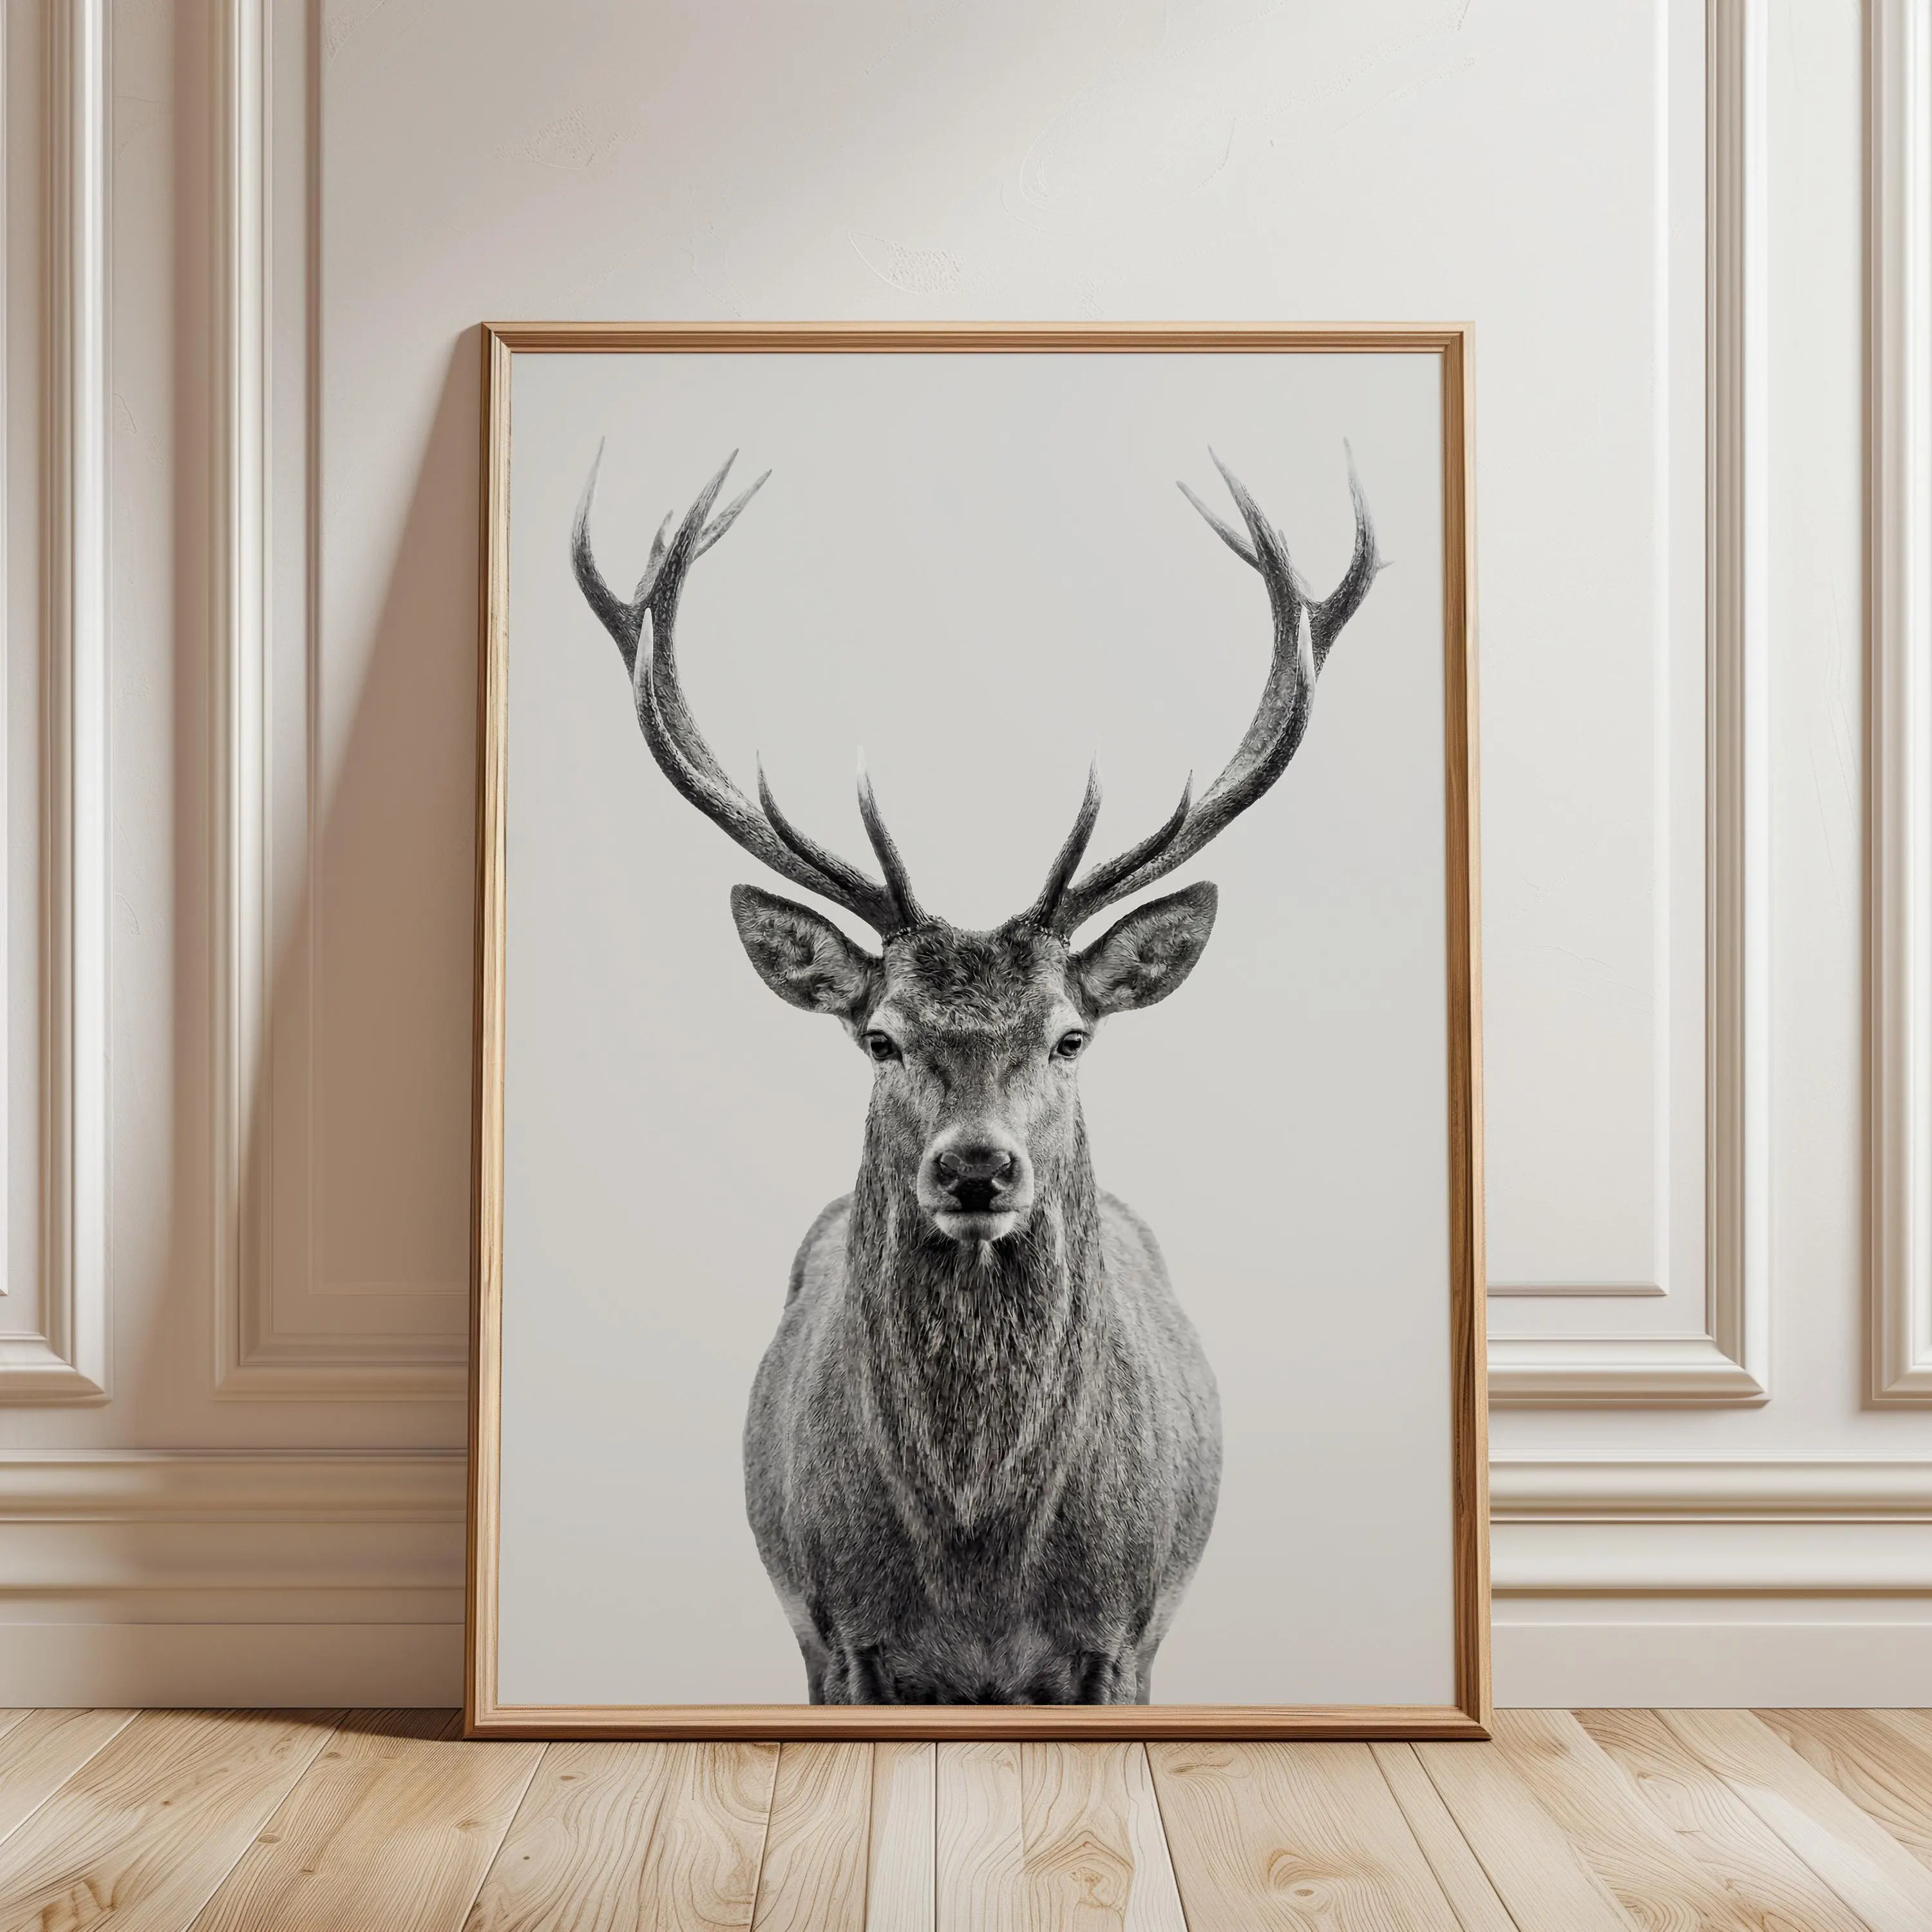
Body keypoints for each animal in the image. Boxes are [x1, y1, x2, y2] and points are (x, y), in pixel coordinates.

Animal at [571, 443, 1378, 1704]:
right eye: (882, 1037)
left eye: (1069, 1036)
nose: (977, 1170)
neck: (976, 1565)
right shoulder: (839, 1631)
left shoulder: (1123, 1632)